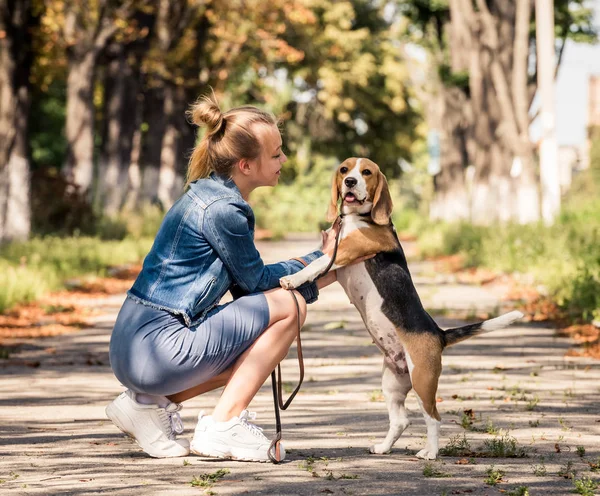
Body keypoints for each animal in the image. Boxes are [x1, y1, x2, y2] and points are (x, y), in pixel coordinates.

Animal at [280, 157, 520, 460]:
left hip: (422, 380)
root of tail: (439, 333)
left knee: (434, 418)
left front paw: (292, 279)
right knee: (401, 420)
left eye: (366, 172)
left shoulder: (345, 252)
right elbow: (317, 262)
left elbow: (315, 264)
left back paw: (430, 453)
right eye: (344, 169)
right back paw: (384, 448)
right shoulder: (336, 260)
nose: (350, 182)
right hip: (392, 382)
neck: (359, 218)